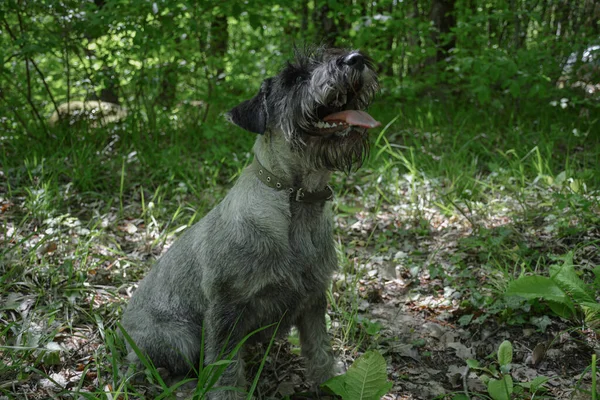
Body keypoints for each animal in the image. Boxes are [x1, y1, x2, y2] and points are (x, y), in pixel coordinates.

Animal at [121, 45, 380, 398]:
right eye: (293, 76)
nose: (356, 58)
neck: (295, 201)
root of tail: (120, 331)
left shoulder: (314, 298)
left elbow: (319, 350)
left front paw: (329, 383)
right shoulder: (227, 309)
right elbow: (225, 369)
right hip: (180, 338)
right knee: (153, 367)